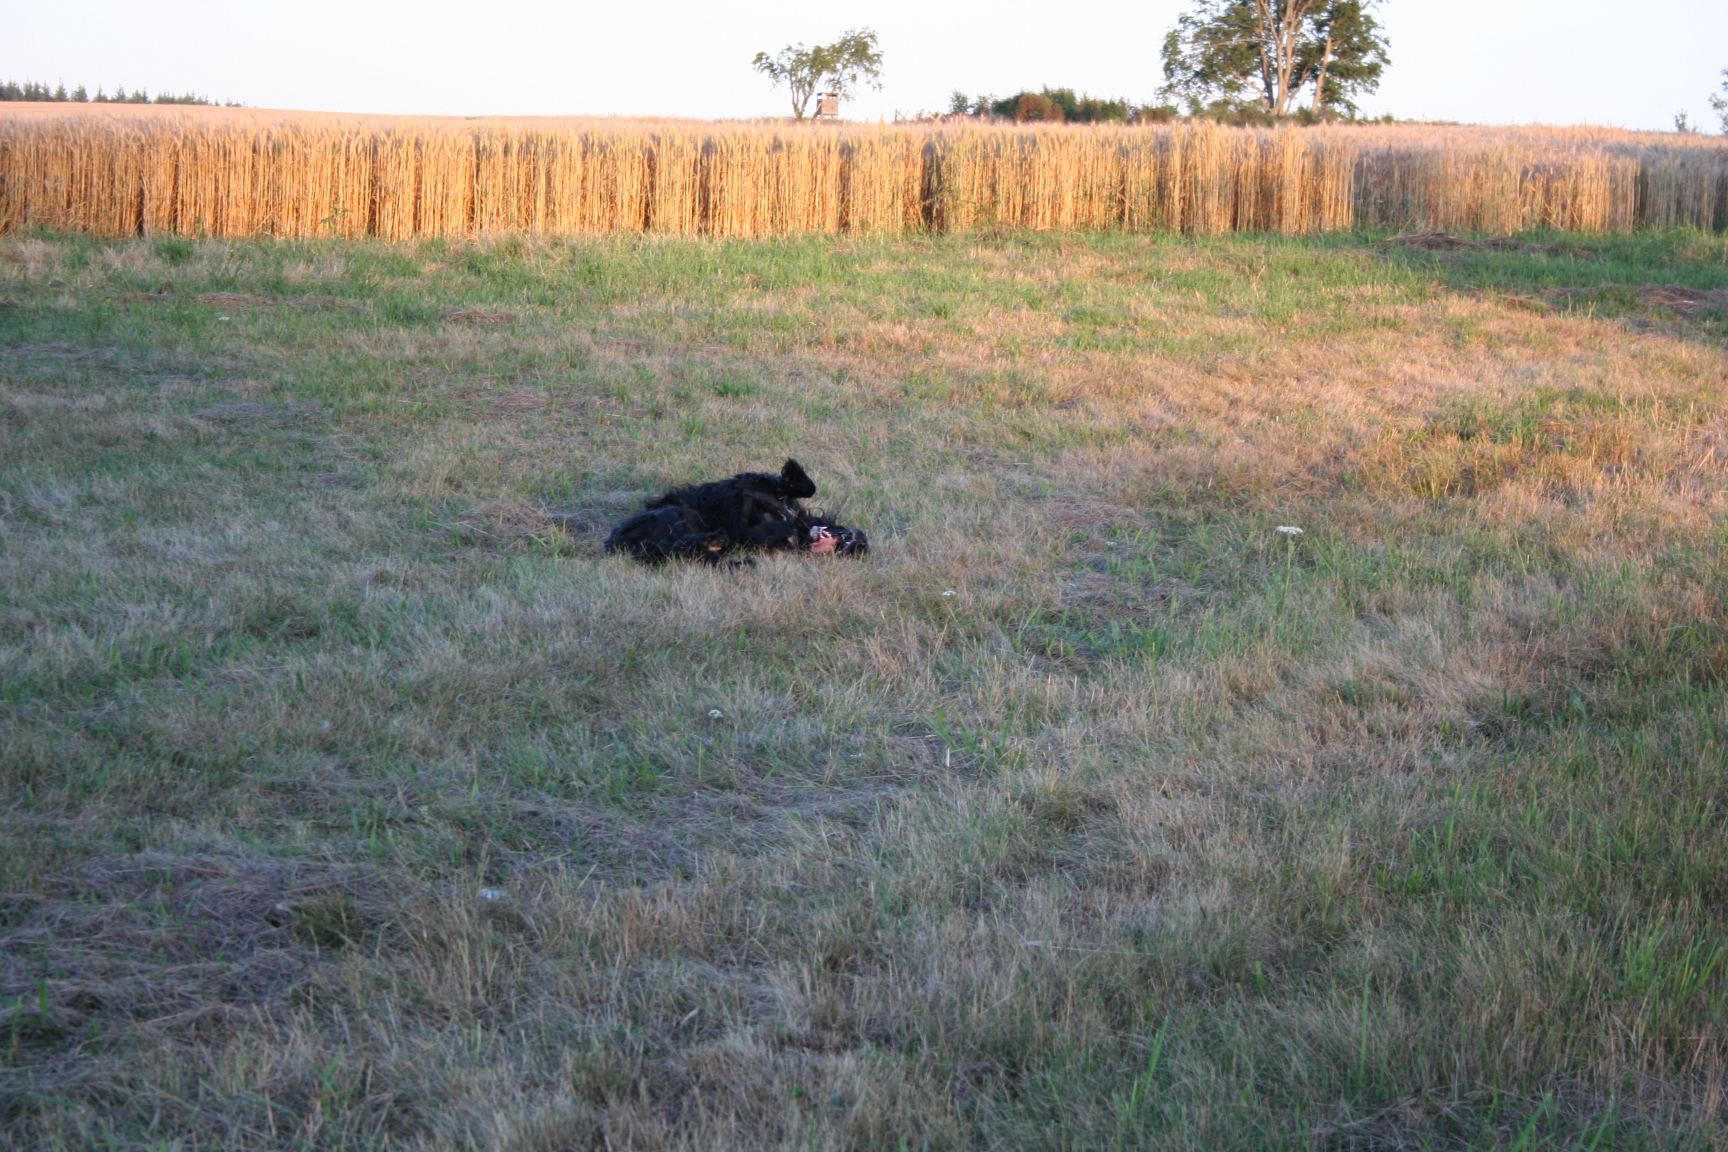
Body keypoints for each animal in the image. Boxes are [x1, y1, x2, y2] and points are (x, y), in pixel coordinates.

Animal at [605, 459, 868, 565]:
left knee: (681, 546)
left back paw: (715, 541)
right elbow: (805, 487)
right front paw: (792, 472)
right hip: (671, 513)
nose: (862, 542)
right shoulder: (754, 485)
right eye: (858, 545)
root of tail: (612, 544)